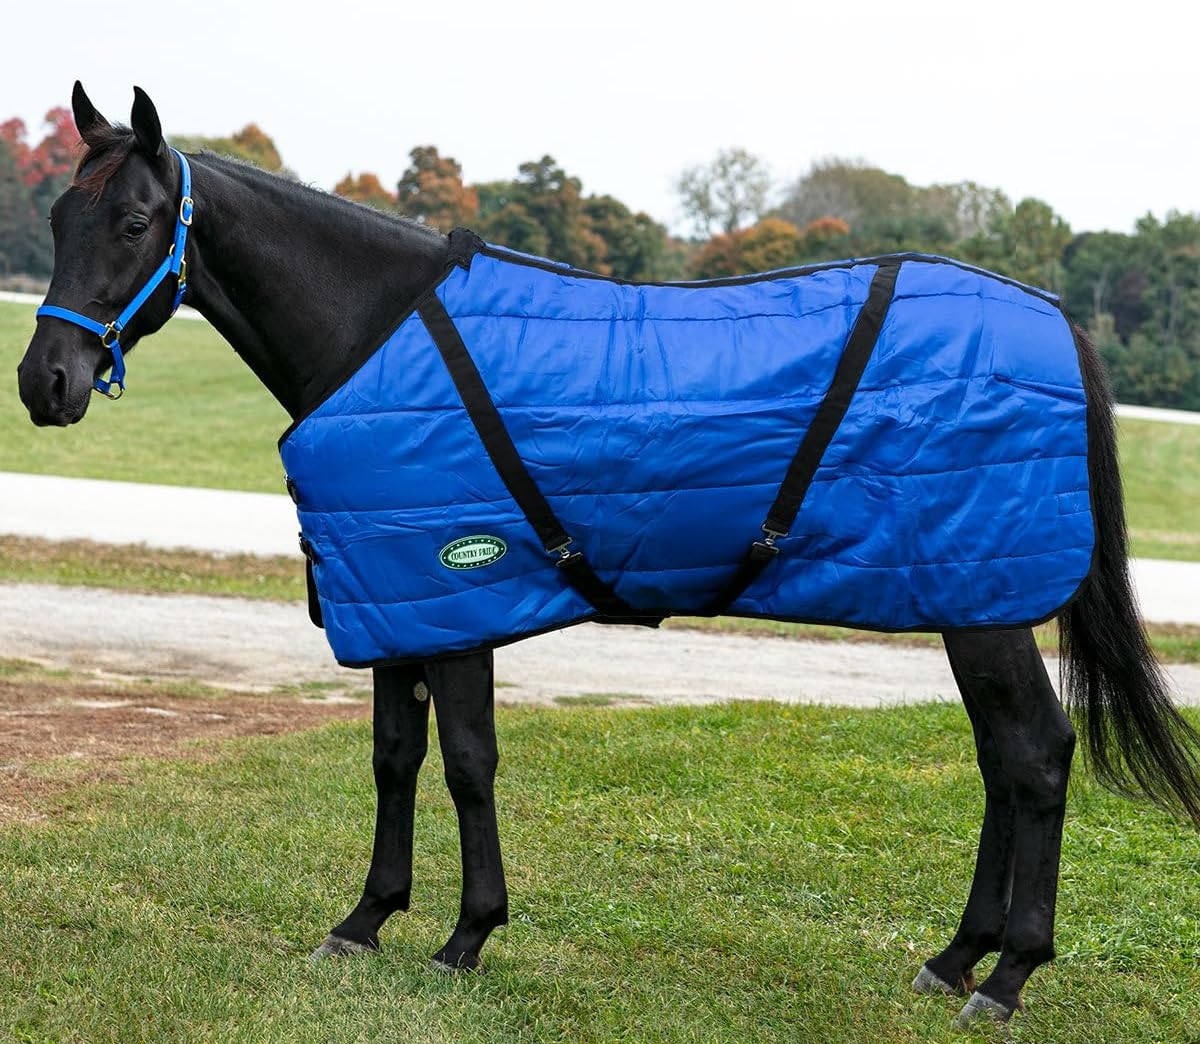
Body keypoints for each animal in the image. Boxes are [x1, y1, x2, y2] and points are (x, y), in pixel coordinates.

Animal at [15, 83, 1200, 1030]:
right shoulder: (390, 597)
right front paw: (365, 920)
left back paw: (1007, 978)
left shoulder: (456, 596)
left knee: (1037, 756)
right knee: (1004, 760)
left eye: (134, 220)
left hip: (983, 603)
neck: (375, 335)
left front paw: (466, 937)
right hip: (965, 597)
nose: (44, 383)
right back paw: (955, 959)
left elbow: (466, 762)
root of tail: (1054, 319)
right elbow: (395, 759)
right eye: (60, 214)